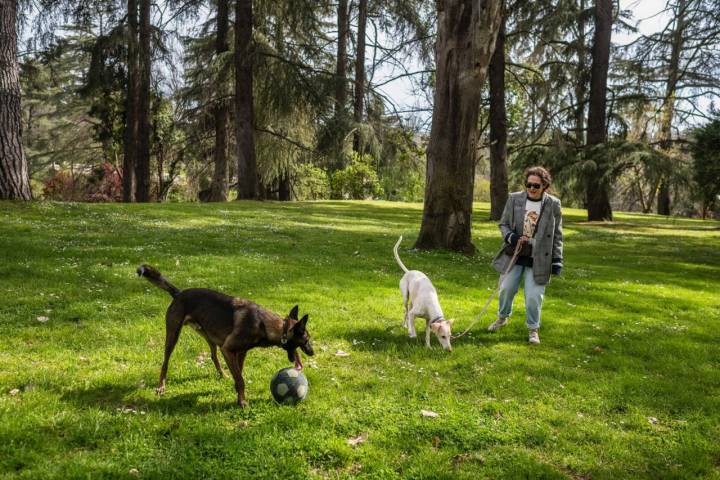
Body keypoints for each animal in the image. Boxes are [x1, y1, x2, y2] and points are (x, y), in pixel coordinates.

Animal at [138, 264, 312, 406]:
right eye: (306, 340)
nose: (312, 352)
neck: (265, 324)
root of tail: (179, 293)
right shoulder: (228, 350)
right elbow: (240, 379)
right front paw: (242, 402)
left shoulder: (239, 352)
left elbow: (238, 374)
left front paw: (238, 395)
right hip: (173, 335)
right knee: (165, 362)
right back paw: (161, 386)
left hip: (211, 337)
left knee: (213, 356)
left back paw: (223, 374)